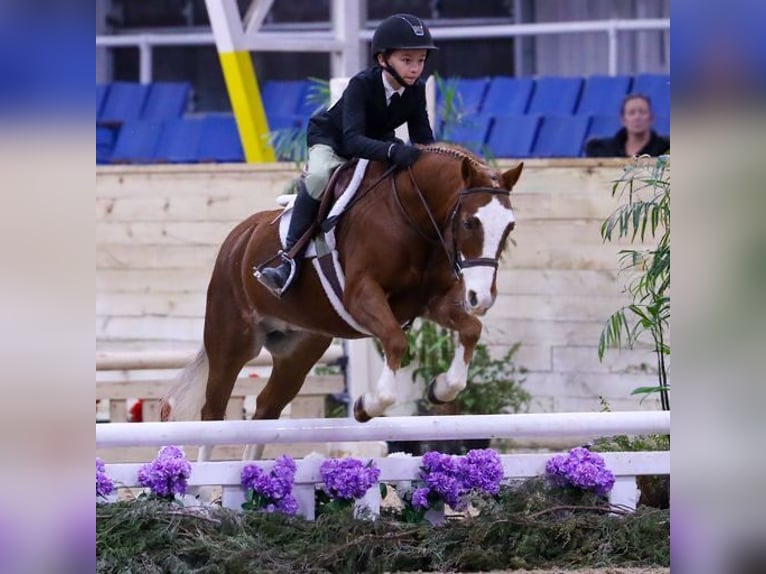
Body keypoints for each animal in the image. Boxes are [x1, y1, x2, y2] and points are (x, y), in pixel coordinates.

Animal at [161, 146, 520, 462]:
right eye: (470, 222)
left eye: (510, 227)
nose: (481, 298)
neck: (412, 215)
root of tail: (239, 238)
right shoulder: (362, 296)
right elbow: (395, 341)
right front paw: (367, 405)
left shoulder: (432, 303)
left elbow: (471, 330)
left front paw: (441, 389)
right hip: (233, 341)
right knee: (214, 411)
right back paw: (205, 491)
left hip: (299, 351)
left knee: (266, 409)